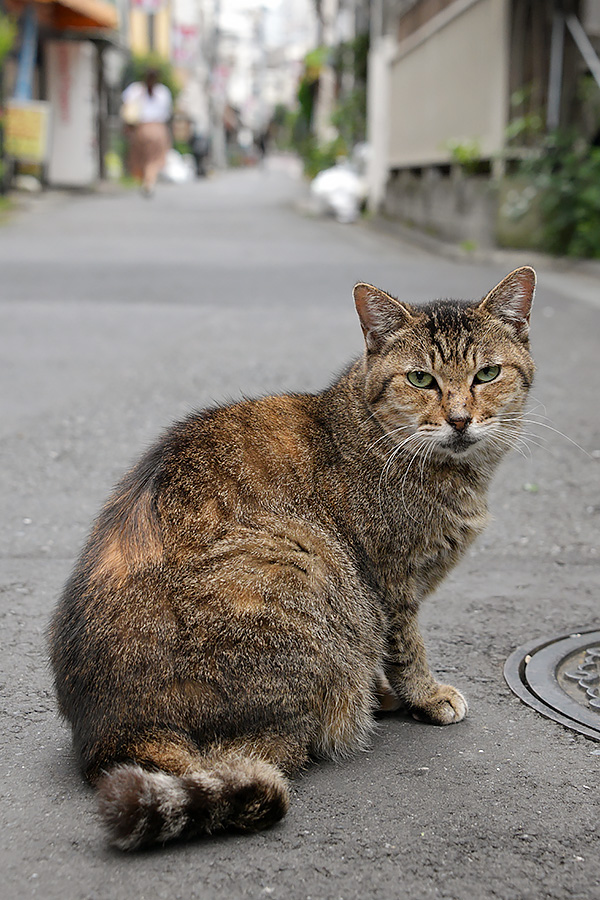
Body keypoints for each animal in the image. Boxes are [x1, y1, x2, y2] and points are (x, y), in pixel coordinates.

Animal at [49, 264, 536, 848]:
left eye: (487, 374)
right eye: (421, 380)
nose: (460, 419)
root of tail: (111, 734)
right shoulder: (389, 582)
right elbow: (407, 648)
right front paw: (423, 694)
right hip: (302, 560)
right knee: (271, 752)